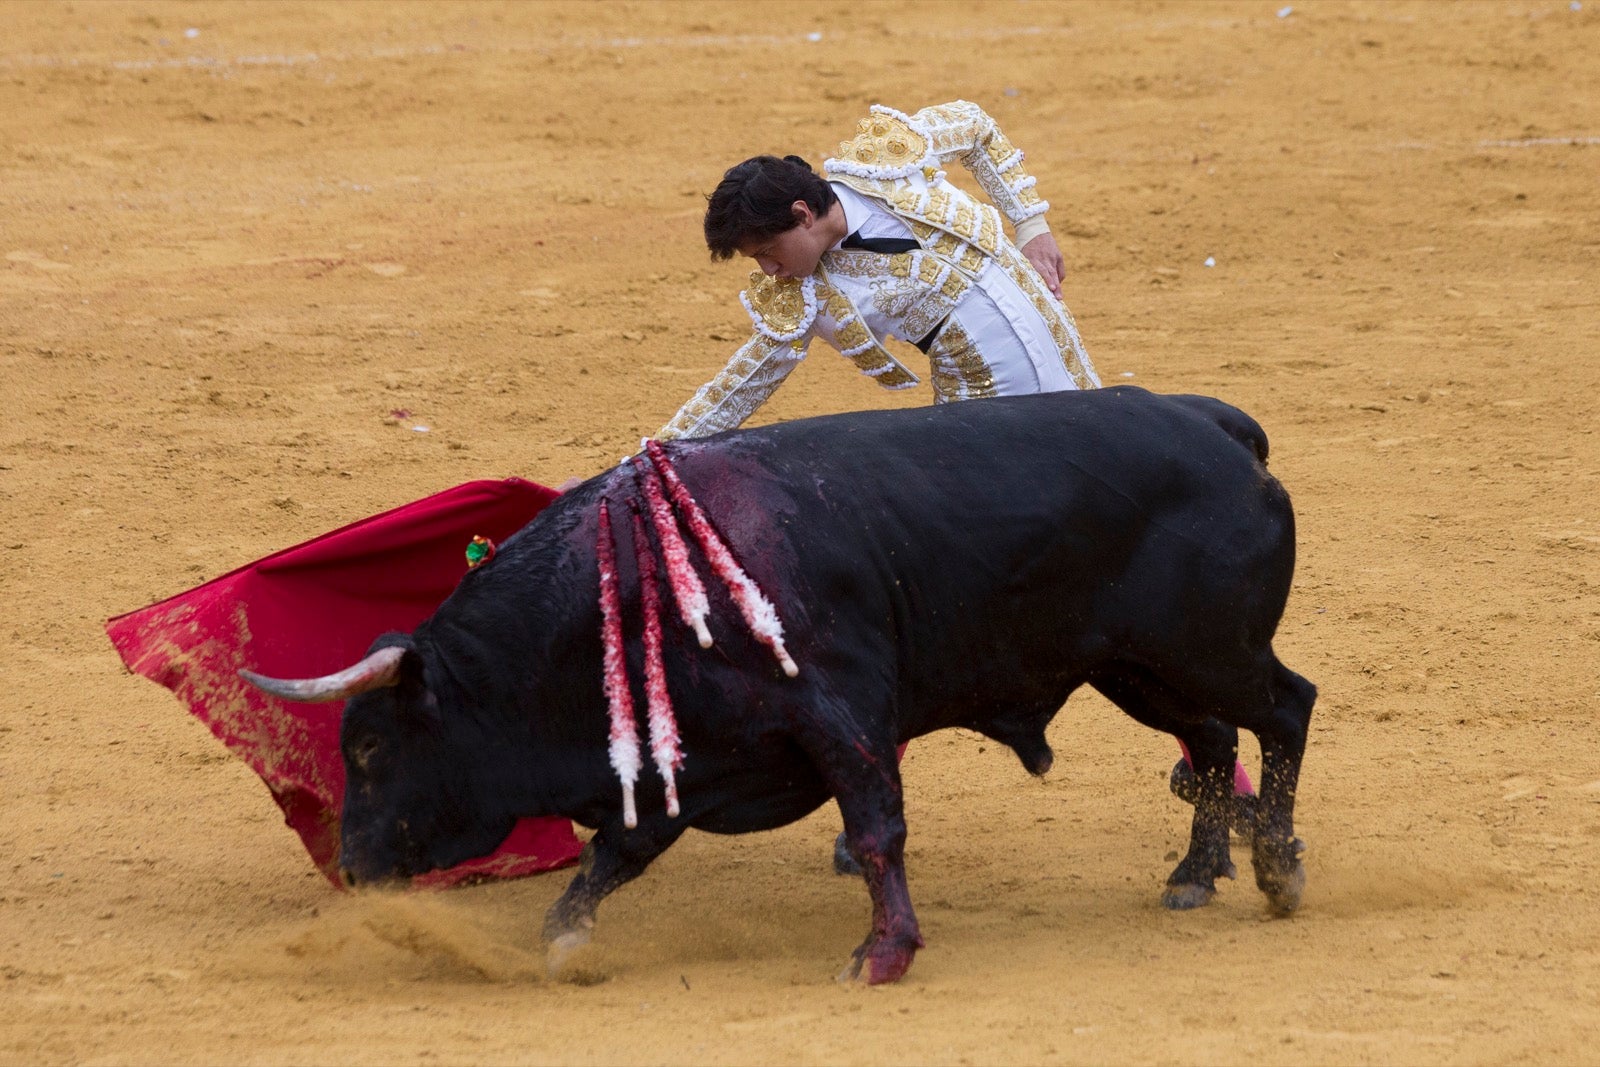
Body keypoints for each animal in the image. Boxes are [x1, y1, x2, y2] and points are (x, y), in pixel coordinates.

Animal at [236, 388, 1312, 991]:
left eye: (371, 744)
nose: (354, 865)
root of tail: (1222, 427)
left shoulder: (843, 717)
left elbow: (876, 831)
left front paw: (881, 956)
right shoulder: (684, 761)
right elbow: (613, 855)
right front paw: (562, 944)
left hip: (1206, 651)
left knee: (1285, 708)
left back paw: (1276, 872)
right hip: (1138, 667)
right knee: (1214, 740)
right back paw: (1194, 872)